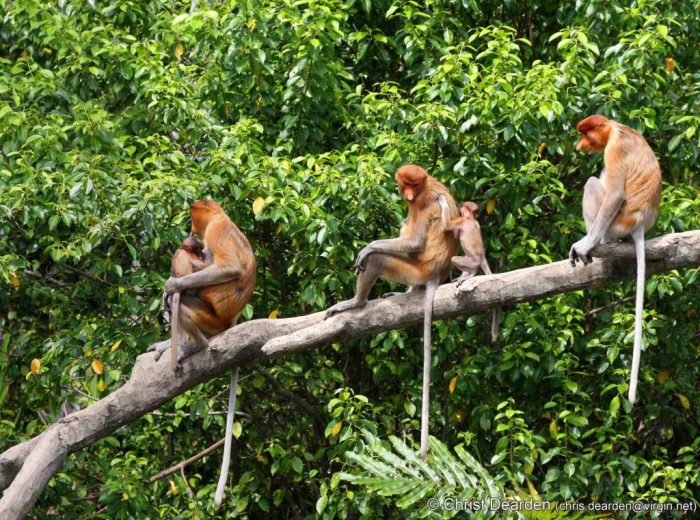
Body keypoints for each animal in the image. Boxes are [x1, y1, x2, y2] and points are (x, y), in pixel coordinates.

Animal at [148, 200, 258, 508]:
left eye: (193, 215)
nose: (190, 226)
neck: (222, 217)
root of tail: (229, 321)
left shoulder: (216, 232)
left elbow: (227, 267)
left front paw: (172, 284)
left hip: (211, 317)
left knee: (185, 298)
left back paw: (194, 344)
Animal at [324, 164, 460, 460]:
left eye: (414, 186)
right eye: (405, 184)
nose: (407, 195)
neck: (426, 186)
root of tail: (436, 274)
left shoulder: (423, 203)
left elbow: (413, 242)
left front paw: (368, 248)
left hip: (414, 268)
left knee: (380, 259)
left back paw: (357, 302)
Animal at [434, 195, 500, 346]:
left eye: (462, 210)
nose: (460, 210)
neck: (470, 218)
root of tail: (481, 258)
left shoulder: (461, 221)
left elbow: (447, 226)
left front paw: (443, 202)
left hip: (471, 262)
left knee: (455, 259)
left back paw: (469, 275)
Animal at [568, 115, 660, 406]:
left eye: (585, 134)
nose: (580, 145)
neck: (614, 129)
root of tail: (640, 225)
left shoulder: (615, 150)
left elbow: (615, 194)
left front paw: (585, 245)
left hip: (618, 223)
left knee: (594, 184)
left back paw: (597, 245)